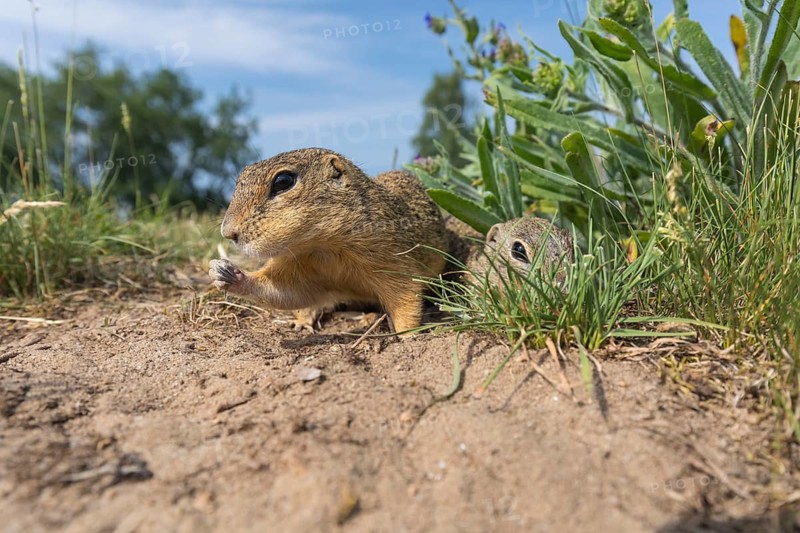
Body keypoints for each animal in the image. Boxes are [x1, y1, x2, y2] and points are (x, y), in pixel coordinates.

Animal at [208, 148, 448, 333]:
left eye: (283, 181)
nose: (227, 233)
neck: (323, 247)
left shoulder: (392, 259)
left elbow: (406, 300)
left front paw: (407, 336)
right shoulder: (298, 264)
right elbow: (284, 291)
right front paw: (224, 273)